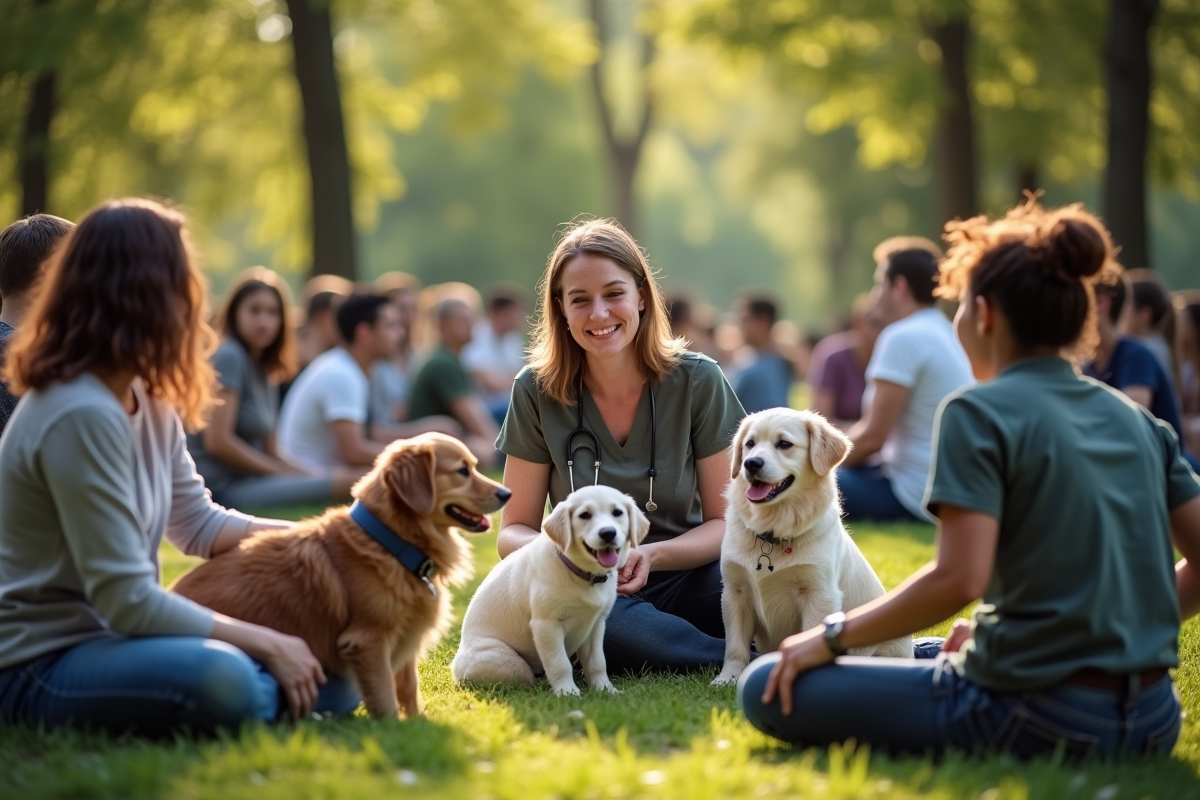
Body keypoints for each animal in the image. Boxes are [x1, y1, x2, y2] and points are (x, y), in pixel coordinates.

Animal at [453, 484, 652, 695]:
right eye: (585, 515)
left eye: (617, 513)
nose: (608, 533)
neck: (582, 575)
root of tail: (454, 667)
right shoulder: (546, 625)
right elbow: (559, 663)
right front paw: (567, 692)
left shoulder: (597, 624)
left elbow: (597, 662)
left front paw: (605, 689)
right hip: (509, 661)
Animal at [710, 410, 907, 686]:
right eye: (749, 444)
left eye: (784, 443)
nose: (751, 464)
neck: (772, 532)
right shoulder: (734, 591)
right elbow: (735, 645)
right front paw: (728, 678)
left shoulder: (819, 594)